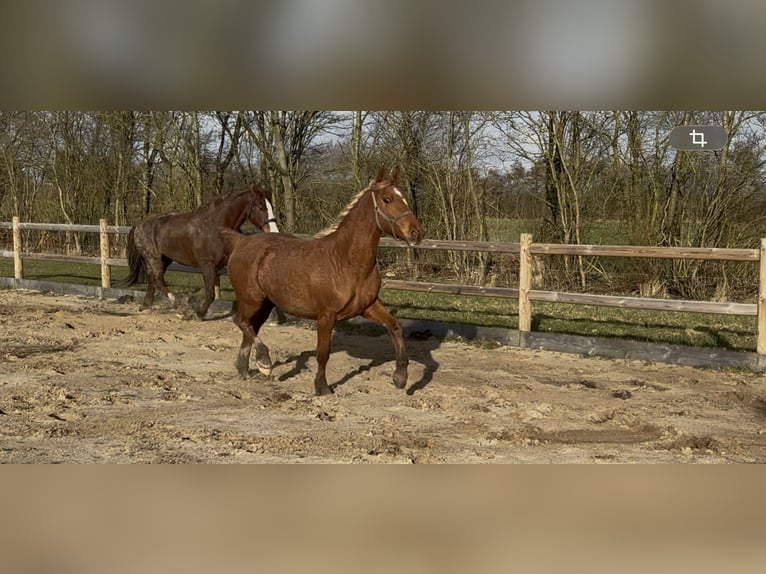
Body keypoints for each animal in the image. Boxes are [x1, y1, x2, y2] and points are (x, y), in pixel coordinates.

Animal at [126, 185, 279, 319]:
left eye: (271, 206)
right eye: (261, 207)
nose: (274, 232)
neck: (216, 226)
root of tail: (139, 225)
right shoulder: (207, 264)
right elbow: (210, 293)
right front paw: (199, 313)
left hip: (164, 259)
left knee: (152, 278)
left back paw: (146, 305)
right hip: (153, 257)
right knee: (158, 279)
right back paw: (178, 306)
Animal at [221, 165, 425, 396]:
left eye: (404, 198)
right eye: (387, 199)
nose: (417, 232)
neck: (344, 261)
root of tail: (241, 241)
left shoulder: (369, 306)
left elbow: (395, 326)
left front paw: (400, 378)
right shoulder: (326, 316)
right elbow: (323, 352)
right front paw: (322, 387)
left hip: (265, 305)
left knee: (249, 327)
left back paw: (245, 370)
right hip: (251, 300)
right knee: (240, 321)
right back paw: (264, 362)